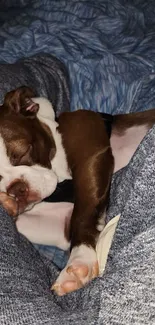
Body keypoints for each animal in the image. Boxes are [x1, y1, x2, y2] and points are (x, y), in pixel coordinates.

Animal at [0, 86, 155, 296]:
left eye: (23, 151)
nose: (16, 189)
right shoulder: (60, 226)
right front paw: (6, 203)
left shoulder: (91, 156)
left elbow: (82, 215)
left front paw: (80, 259)